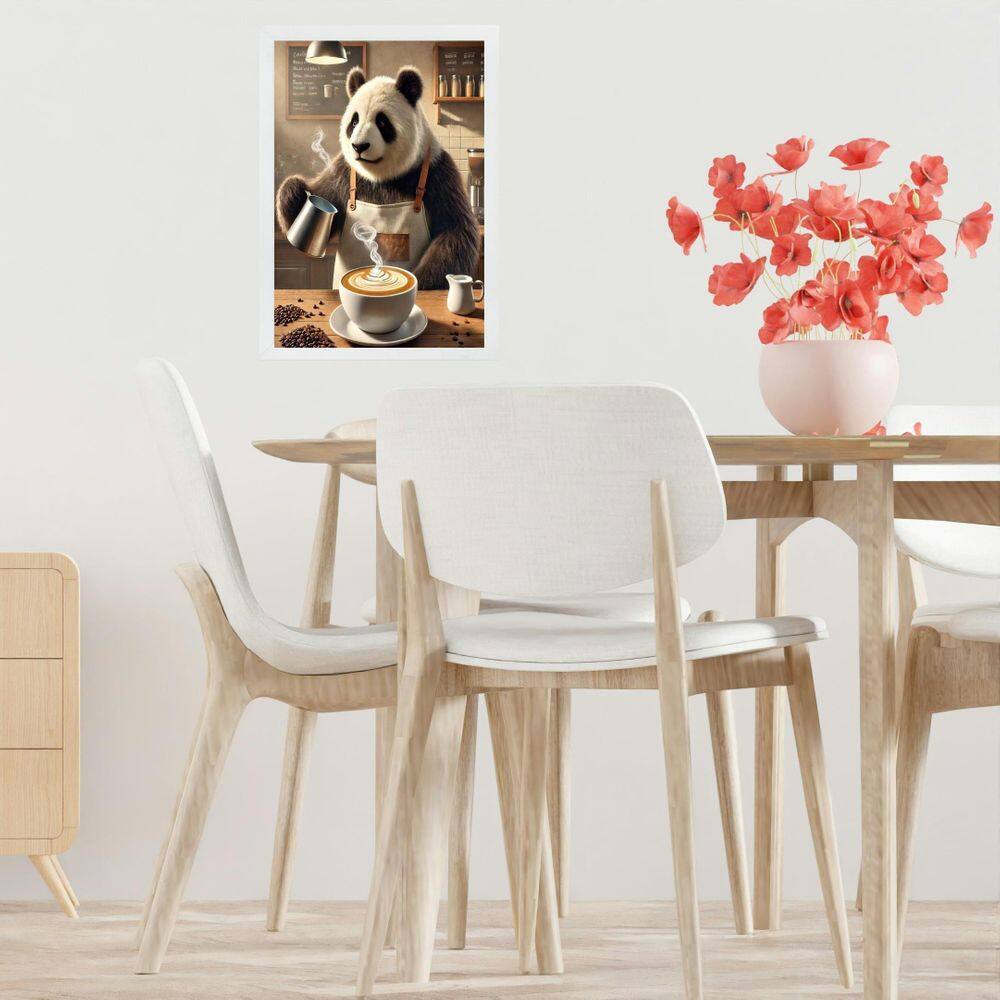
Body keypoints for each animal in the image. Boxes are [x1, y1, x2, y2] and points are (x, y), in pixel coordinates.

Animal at [276, 65, 479, 290]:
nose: (359, 146)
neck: (383, 175)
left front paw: (422, 283)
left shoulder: (438, 173)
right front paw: (296, 192)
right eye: (354, 121)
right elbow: (326, 205)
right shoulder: (343, 172)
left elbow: (454, 230)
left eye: (382, 122)